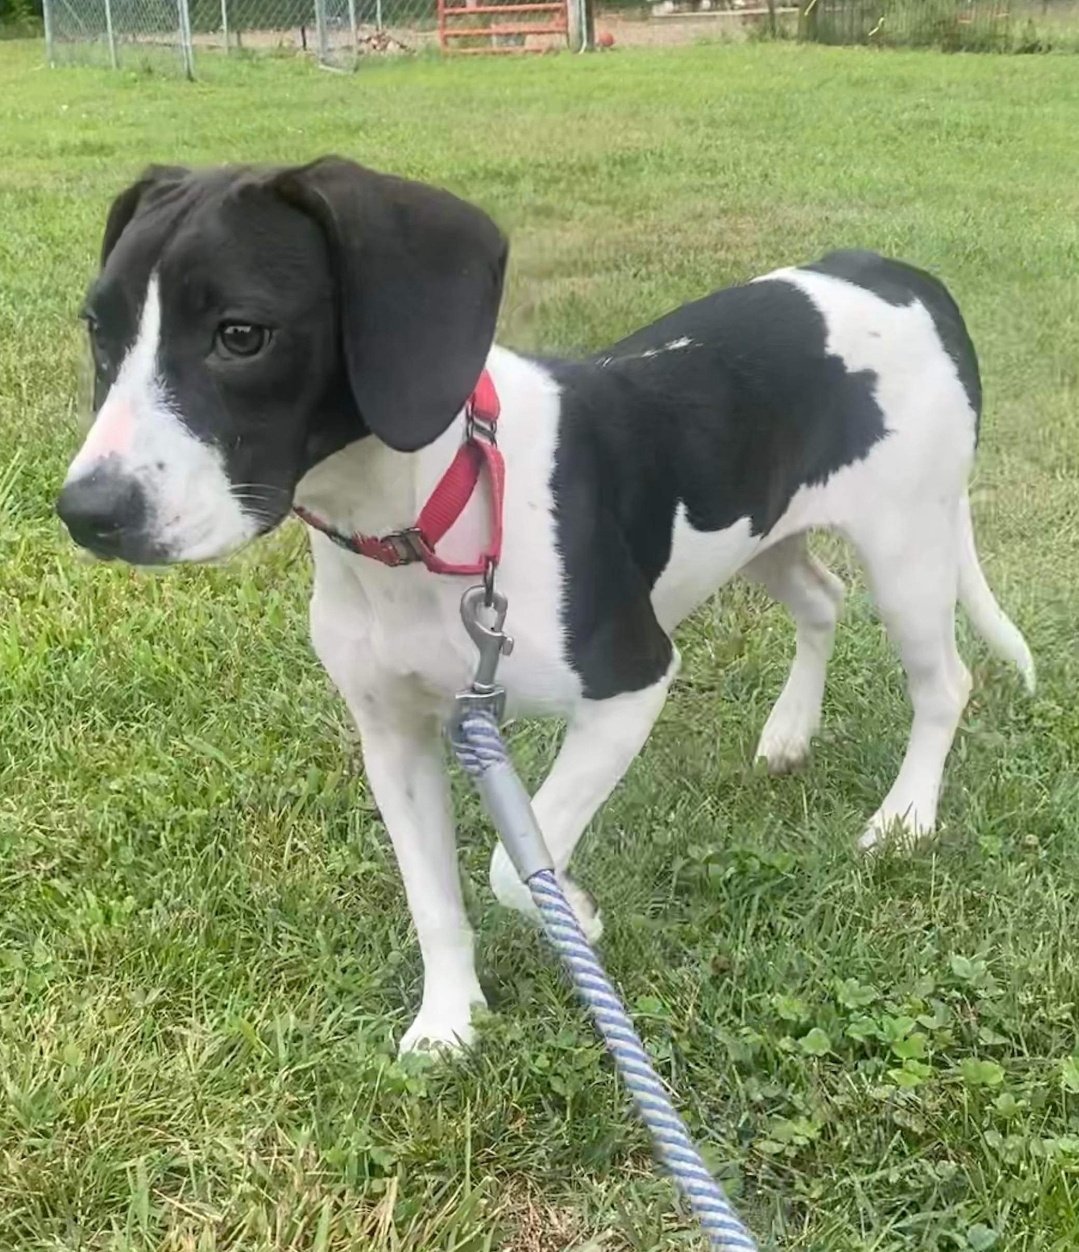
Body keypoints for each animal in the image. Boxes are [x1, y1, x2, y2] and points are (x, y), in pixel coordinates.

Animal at [59, 156, 1041, 1056]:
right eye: (98, 330)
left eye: (241, 334)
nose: (87, 512)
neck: (428, 515)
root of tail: (899, 275)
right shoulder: (395, 737)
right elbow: (434, 898)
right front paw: (449, 1021)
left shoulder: (632, 683)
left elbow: (511, 862)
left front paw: (570, 907)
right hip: (760, 526)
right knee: (822, 602)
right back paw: (788, 731)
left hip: (907, 550)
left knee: (942, 684)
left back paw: (904, 818)